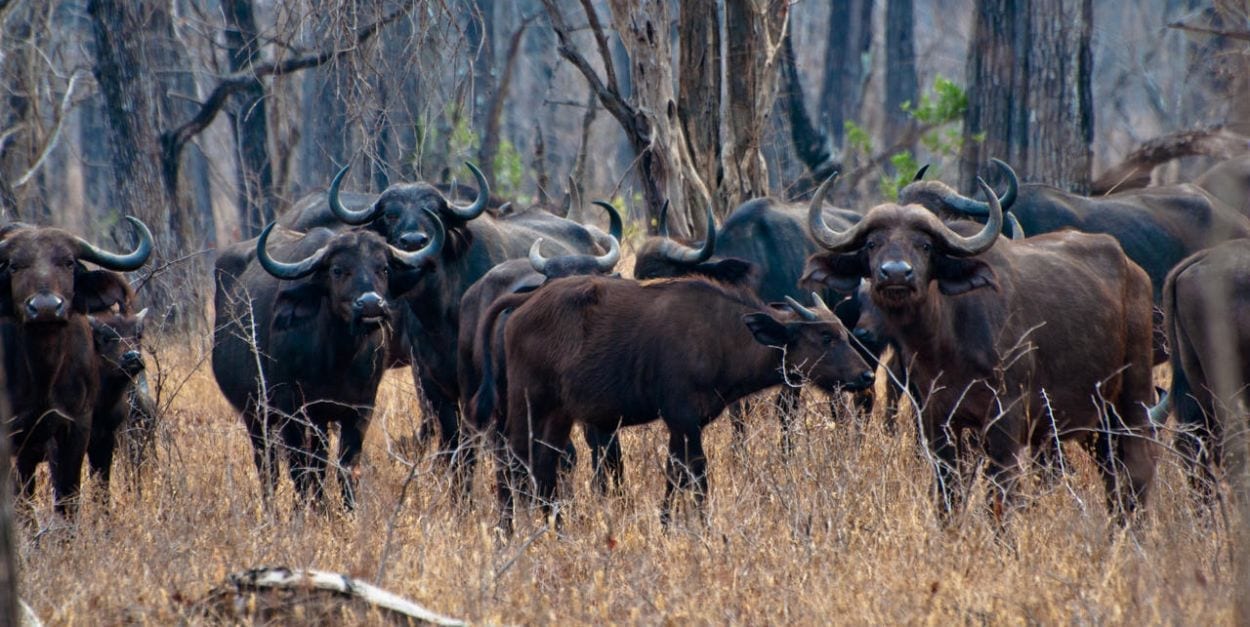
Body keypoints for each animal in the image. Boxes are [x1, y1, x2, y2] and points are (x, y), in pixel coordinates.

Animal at [482, 273, 875, 529]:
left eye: (843, 331)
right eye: (825, 337)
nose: (867, 375)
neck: (723, 336)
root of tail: (525, 303)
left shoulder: (684, 423)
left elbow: (675, 474)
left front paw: (667, 524)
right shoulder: (682, 418)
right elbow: (697, 476)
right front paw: (703, 528)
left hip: (558, 414)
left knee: (543, 468)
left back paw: (557, 530)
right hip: (528, 402)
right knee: (510, 463)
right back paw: (506, 533)